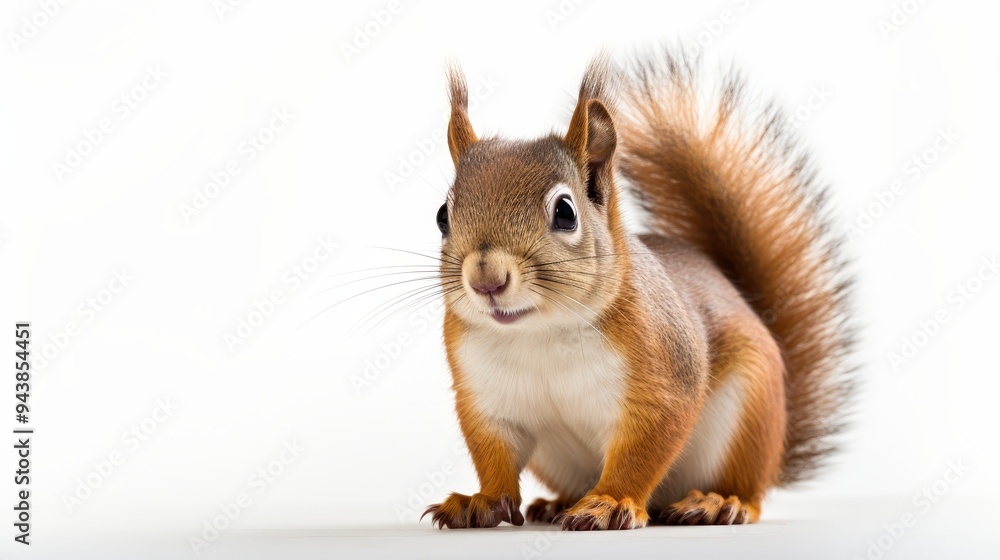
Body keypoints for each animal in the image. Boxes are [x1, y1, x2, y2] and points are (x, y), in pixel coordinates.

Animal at [421, 50, 853, 531]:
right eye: (442, 216)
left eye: (566, 212)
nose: (486, 280)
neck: (539, 333)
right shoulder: (485, 398)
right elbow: (494, 456)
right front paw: (480, 501)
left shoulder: (663, 377)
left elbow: (642, 451)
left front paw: (610, 503)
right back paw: (556, 504)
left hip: (749, 417)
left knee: (750, 491)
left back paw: (720, 502)